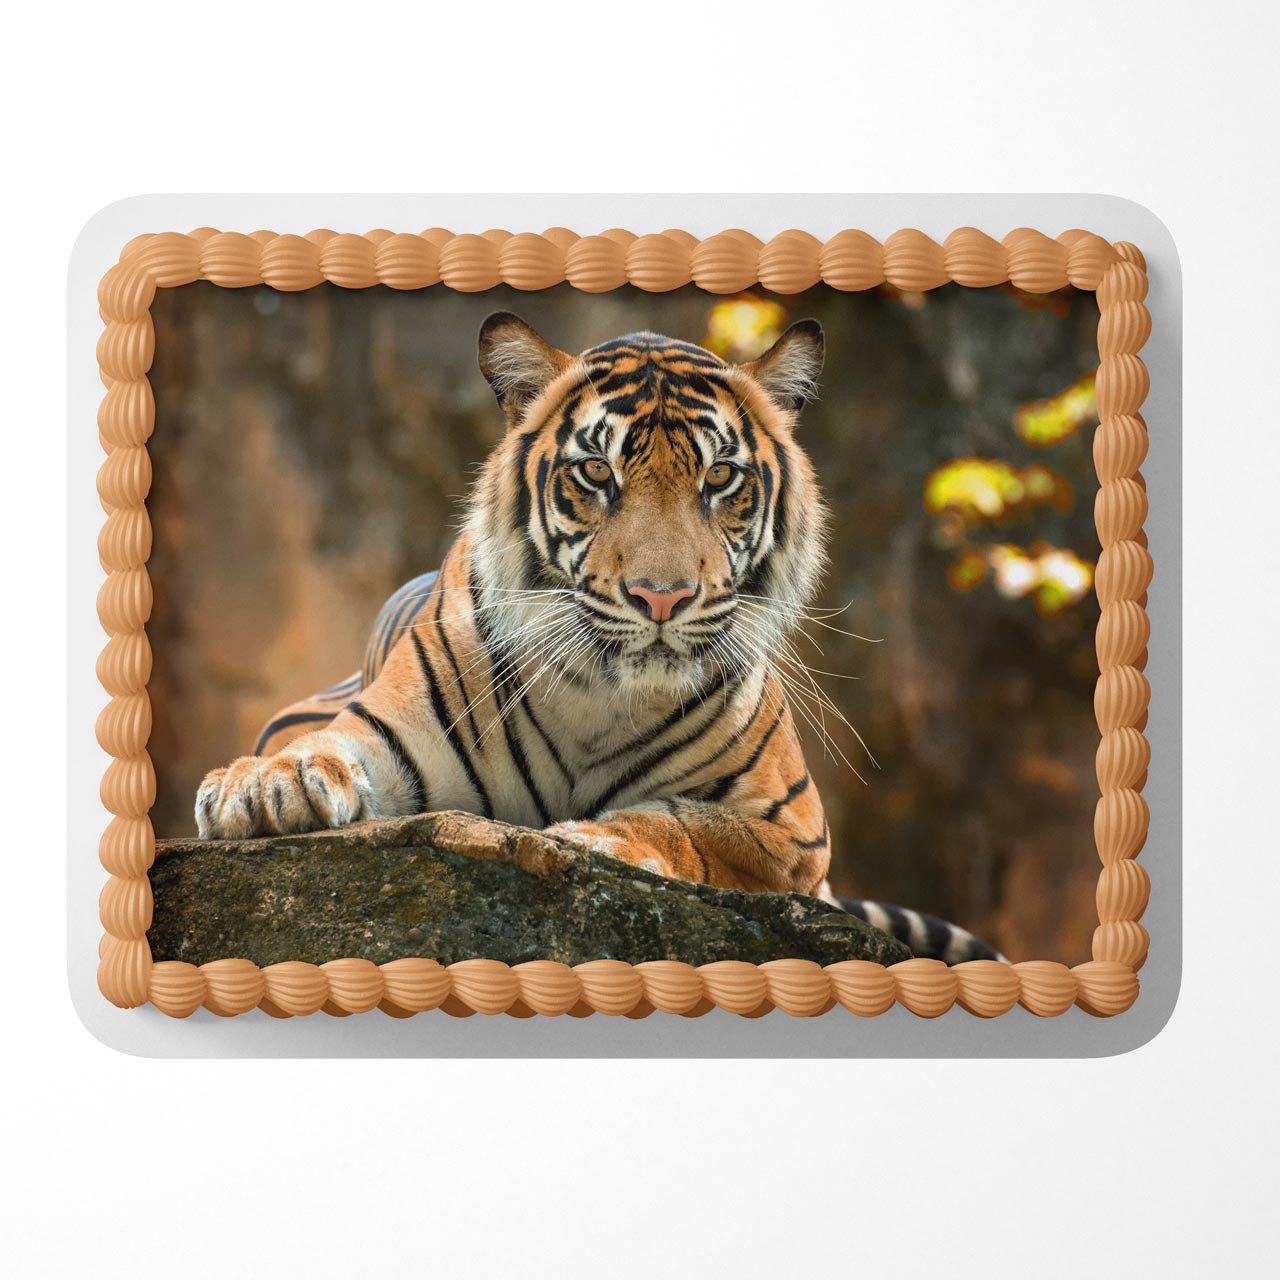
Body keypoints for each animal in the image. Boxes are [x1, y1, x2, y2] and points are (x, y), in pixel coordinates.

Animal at [195, 313, 1002, 964]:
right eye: (595, 471)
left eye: (719, 476)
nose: (661, 596)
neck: (600, 694)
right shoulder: (383, 732)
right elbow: (323, 749)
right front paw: (262, 787)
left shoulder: (790, 827)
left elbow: (685, 822)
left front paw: (597, 839)